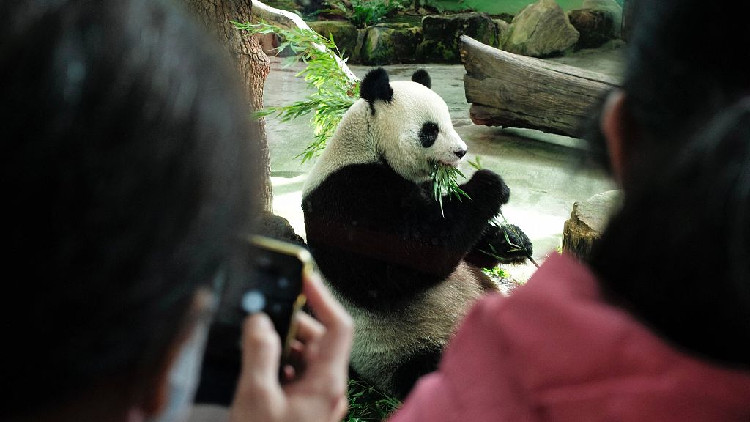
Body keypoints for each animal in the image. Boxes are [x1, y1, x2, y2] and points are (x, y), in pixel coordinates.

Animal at [302, 67, 532, 398]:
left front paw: (511, 240)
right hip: (406, 348)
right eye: (430, 131)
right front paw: (489, 183)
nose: (461, 151)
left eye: (449, 121)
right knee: (446, 376)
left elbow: (463, 242)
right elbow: (405, 260)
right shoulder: (345, 196)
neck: (368, 147)